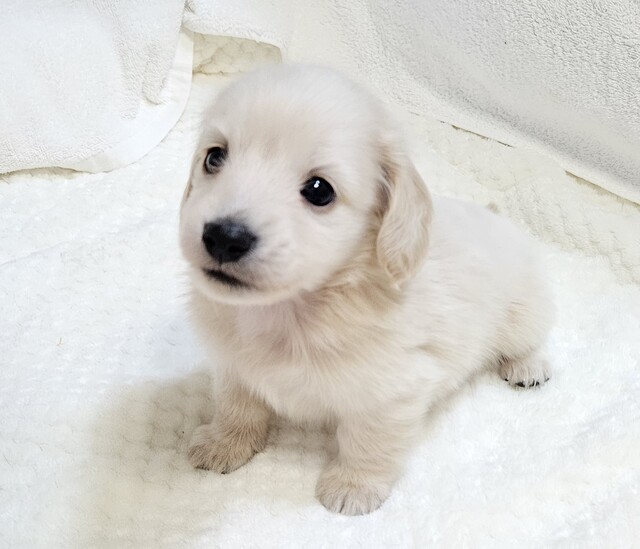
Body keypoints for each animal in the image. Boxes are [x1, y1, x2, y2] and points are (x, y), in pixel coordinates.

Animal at [179, 65, 554, 515]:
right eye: (214, 157)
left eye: (319, 190)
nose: (223, 237)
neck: (293, 310)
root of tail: (497, 217)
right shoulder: (234, 367)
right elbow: (237, 408)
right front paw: (225, 444)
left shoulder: (391, 394)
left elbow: (367, 442)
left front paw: (353, 487)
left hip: (523, 312)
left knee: (528, 340)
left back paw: (528, 367)